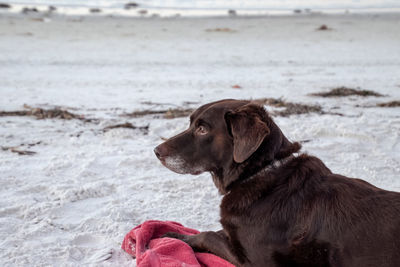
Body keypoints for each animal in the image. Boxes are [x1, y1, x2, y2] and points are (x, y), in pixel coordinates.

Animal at [154, 99, 400, 266]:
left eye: (202, 129)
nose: (156, 151)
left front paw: (172, 237)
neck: (260, 173)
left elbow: (209, 234)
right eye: (191, 123)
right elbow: (214, 232)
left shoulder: (253, 261)